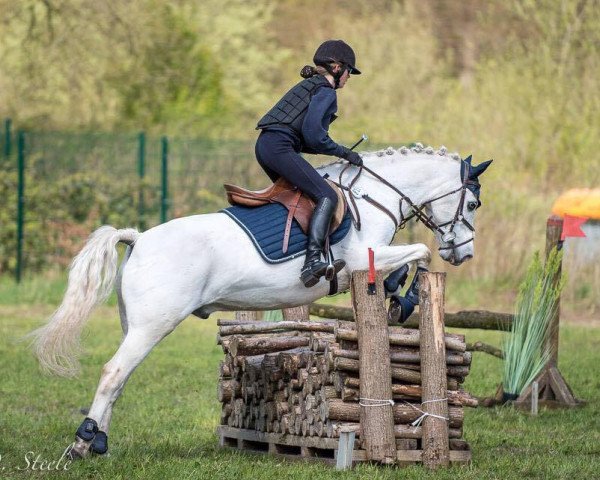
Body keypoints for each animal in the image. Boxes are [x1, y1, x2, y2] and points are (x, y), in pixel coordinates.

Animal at [29, 143, 492, 458]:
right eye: (472, 203)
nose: (464, 253)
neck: (373, 199)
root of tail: (139, 238)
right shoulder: (363, 259)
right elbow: (421, 252)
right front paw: (404, 296)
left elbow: (415, 257)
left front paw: (398, 295)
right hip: (152, 326)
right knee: (112, 373)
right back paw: (82, 444)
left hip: (134, 325)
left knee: (120, 379)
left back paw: (98, 442)